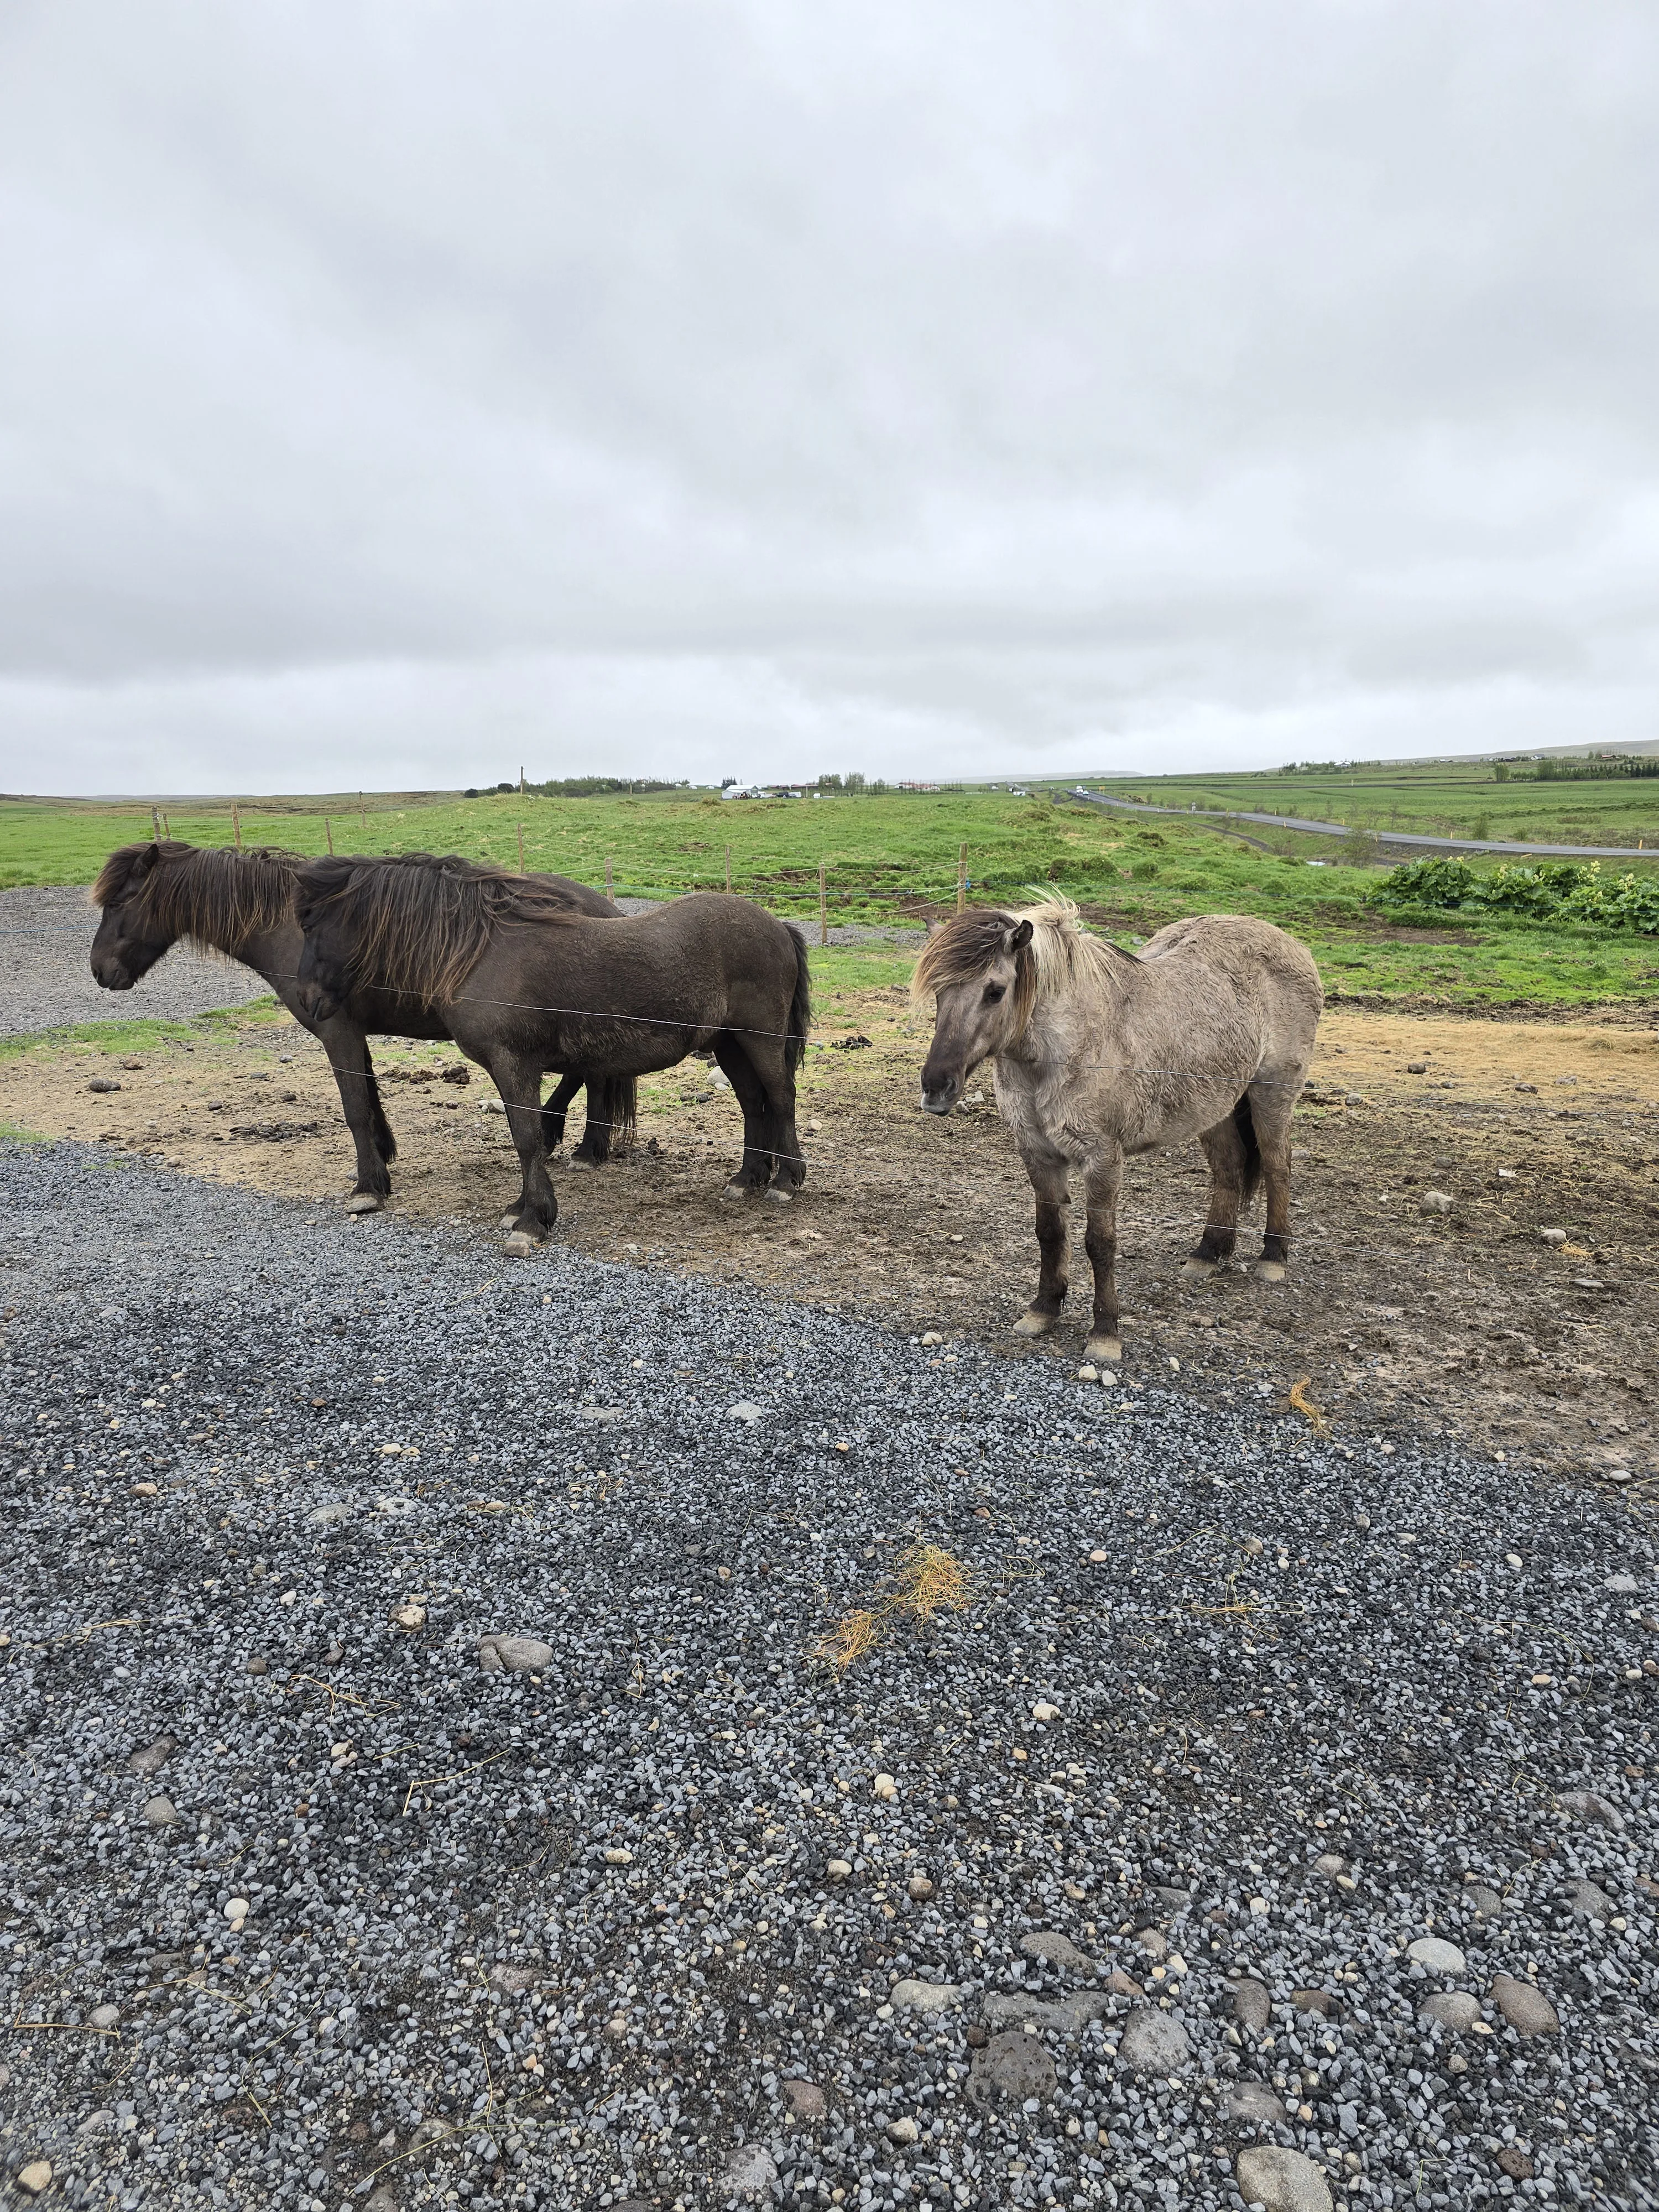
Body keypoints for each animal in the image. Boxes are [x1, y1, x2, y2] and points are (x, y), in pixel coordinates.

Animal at [88, 841, 636, 1210]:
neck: (292, 929)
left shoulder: (337, 1031)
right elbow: (369, 1099)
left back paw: (579, 1144)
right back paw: (582, 1143)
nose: (99, 971)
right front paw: (383, 1156)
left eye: (117, 903)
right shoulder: (352, 1033)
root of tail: (603, 909)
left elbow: (353, 1107)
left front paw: (369, 1185)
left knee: (590, 1076)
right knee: (591, 1075)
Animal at [291, 854, 811, 1249]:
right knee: (753, 1104)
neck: (482, 951)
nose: (309, 1001)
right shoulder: (509, 1069)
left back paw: (785, 1181)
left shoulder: (514, 1064)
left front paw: (533, 1220)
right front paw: (521, 1208)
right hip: (730, 1043)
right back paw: (747, 1178)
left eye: (311, 924)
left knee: (781, 1098)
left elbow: (528, 1138)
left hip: (760, 1038)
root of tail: (777, 925)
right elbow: (526, 1136)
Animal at [914, 897, 1323, 1362]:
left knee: (1276, 1167)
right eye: (939, 991)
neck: (1067, 1048)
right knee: (1230, 1168)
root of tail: (1292, 945)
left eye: (995, 991)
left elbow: (1100, 1241)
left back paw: (1274, 1256)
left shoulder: (1103, 1158)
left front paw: (1105, 1332)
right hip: (1215, 1107)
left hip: (1271, 1095)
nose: (936, 1087)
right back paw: (1208, 1252)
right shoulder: (1037, 1152)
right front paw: (1043, 1310)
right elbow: (1050, 1232)